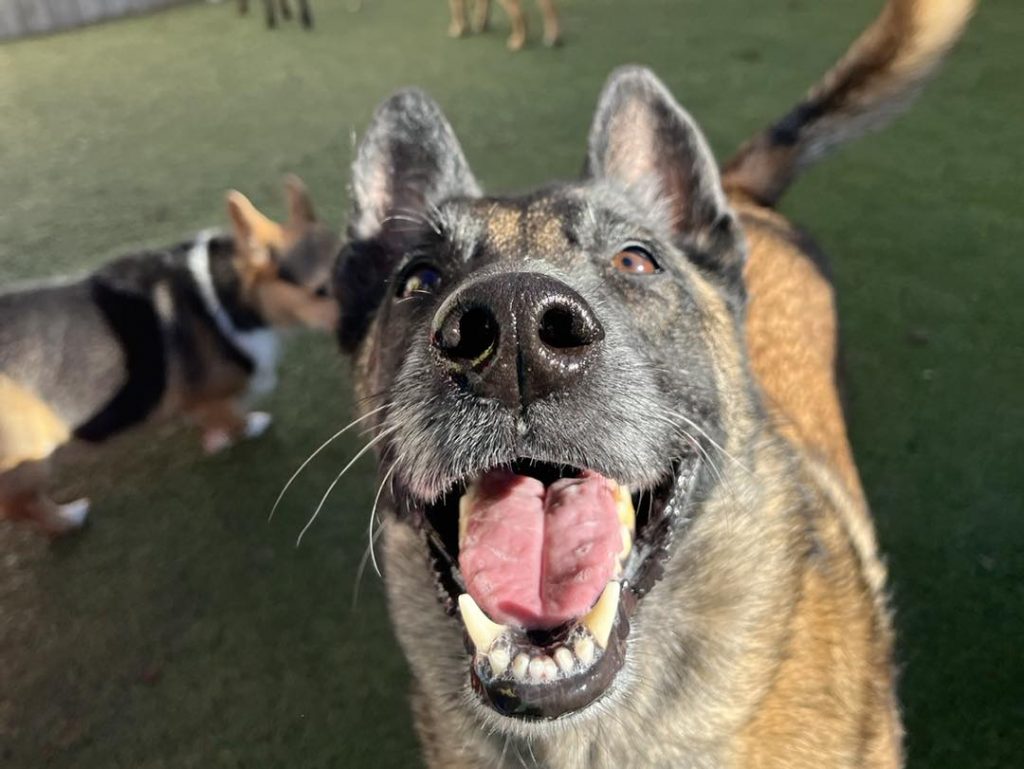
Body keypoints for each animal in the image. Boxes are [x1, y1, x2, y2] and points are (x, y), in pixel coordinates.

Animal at [0, 176, 337, 536]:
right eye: (321, 290)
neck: (230, 295)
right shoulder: (210, 399)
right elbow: (232, 417)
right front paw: (247, 427)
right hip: (30, 461)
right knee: (18, 505)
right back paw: (68, 519)